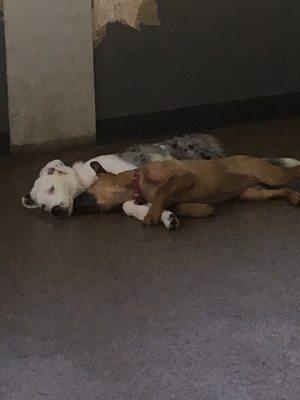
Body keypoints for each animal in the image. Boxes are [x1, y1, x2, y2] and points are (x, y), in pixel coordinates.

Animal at [73, 155, 300, 227]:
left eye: (86, 192)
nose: (72, 207)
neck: (137, 181)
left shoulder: (183, 176)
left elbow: (162, 191)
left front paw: (152, 214)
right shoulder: (177, 200)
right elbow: (180, 206)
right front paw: (201, 210)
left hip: (272, 176)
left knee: (291, 174)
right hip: (253, 194)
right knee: (283, 190)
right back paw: (294, 196)